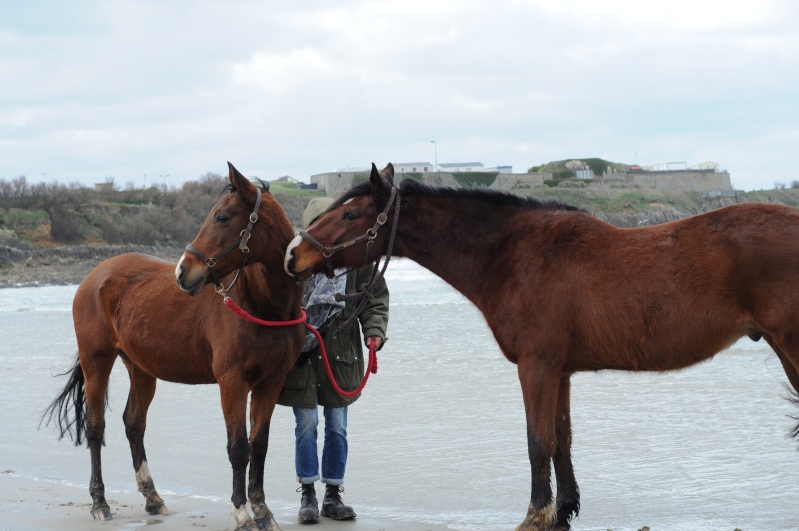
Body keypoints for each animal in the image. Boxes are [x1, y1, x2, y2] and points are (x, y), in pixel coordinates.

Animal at [41, 164, 304, 528]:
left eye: (222, 217)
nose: (183, 272)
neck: (261, 307)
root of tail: (94, 276)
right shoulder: (232, 383)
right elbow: (238, 448)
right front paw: (241, 512)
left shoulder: (270, 383)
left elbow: (259, 446)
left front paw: (263, 512)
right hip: (97, 362)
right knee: (96, 429)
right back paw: (100, 502)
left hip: (140, 369)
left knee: (133, 424)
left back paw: (153, 498)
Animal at [286, 164, 799, 528]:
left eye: (350, 214)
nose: (294, 255)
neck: (514, 254)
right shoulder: (561, 371)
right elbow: (561, 440)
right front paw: (563, 511)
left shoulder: (537, 367)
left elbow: (538, 442)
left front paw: (536, 515)